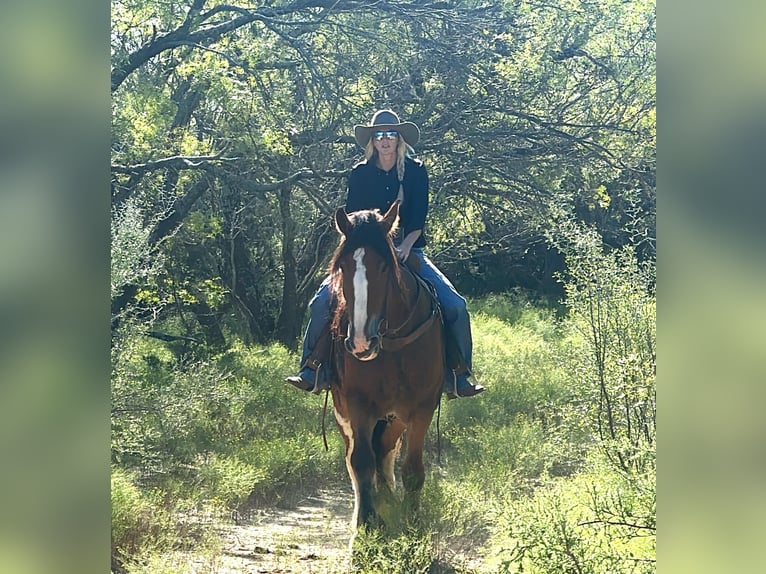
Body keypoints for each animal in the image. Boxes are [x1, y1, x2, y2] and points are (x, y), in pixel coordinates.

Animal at [328, 202, 448, 536]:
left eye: (383, 266)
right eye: (343, 267)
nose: (359, 342)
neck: (392, 343)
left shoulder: (422, 407)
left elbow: (413, 469)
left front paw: (412, 521)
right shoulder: (357, 404)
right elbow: (360, 462)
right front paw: (366, 523)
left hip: (395, 417)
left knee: (385, 448)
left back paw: (388, 498)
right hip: (346, 414)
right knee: (359, 456)